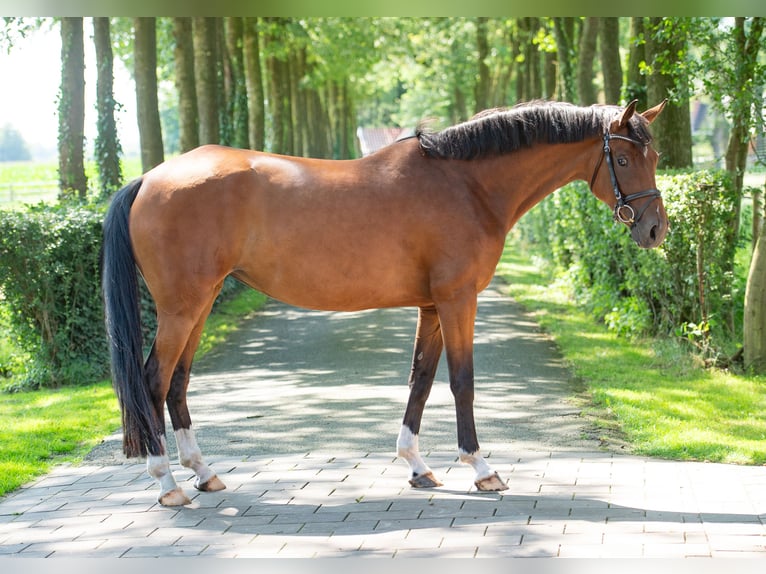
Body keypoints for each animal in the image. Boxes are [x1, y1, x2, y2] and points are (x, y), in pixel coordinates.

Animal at [102, 100, 664, 508]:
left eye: (653, 157)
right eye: (621, 159)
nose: (656, 230)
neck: (468, 184)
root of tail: (149, 178)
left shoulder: (432, 306)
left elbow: (421, 378)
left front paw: (418, 467)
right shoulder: (458, 300)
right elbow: (462, 381)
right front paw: (482, 469)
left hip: (200, 303)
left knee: (178, 382)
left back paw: (204, 474)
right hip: (182, 308)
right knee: (153, 381)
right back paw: (167, 484)